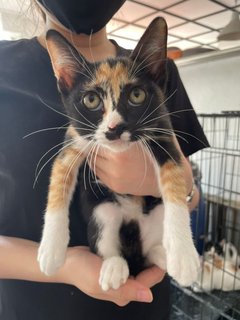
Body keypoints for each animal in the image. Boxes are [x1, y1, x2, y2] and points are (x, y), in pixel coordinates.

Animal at [37, 17, 200, 290]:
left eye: (137, 95)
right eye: (91, 100)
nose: (115, 127)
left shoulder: (164, 134)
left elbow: (175, 179)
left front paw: (184, 255)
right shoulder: (75, 138)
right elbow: (58, 181)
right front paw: (51, 250)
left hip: (156, 215)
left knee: (150, 250)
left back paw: (164, 254)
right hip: (102, 213)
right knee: (108, 244)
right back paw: (114, 266)